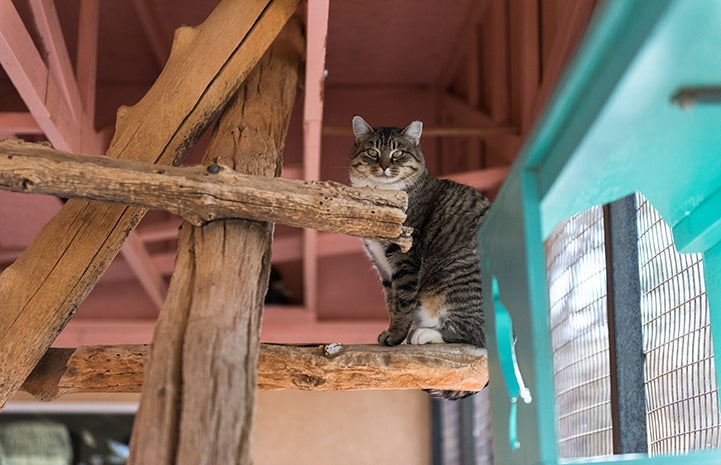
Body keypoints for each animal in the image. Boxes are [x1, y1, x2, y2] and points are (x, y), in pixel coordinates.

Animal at [348, 116, 490, 398]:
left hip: (455, 279)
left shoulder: (406, 257)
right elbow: (391, 300)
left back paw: (425, 335)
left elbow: (403, 302)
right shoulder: (382, 264)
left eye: (397, 153)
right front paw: (392, 331)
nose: (384, 166)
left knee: (477, 337)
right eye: (372, 152)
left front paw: (396, 336)